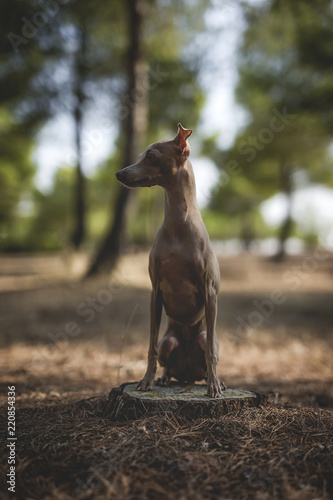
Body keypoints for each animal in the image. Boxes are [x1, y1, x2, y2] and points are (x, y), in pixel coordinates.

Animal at [115, 123, 227, 396]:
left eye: (151, 155)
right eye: (142, 155)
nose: (119, 173)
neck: (178, 225)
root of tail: (187, 373)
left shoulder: (210, 291)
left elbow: (211, 353)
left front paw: (214, 386)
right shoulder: (155, 291)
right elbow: (151, 346)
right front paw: (146, 380)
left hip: (204, 338)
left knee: (207, 355)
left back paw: (214, 380)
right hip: (169, 341)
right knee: (167, 360)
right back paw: (165, 378)